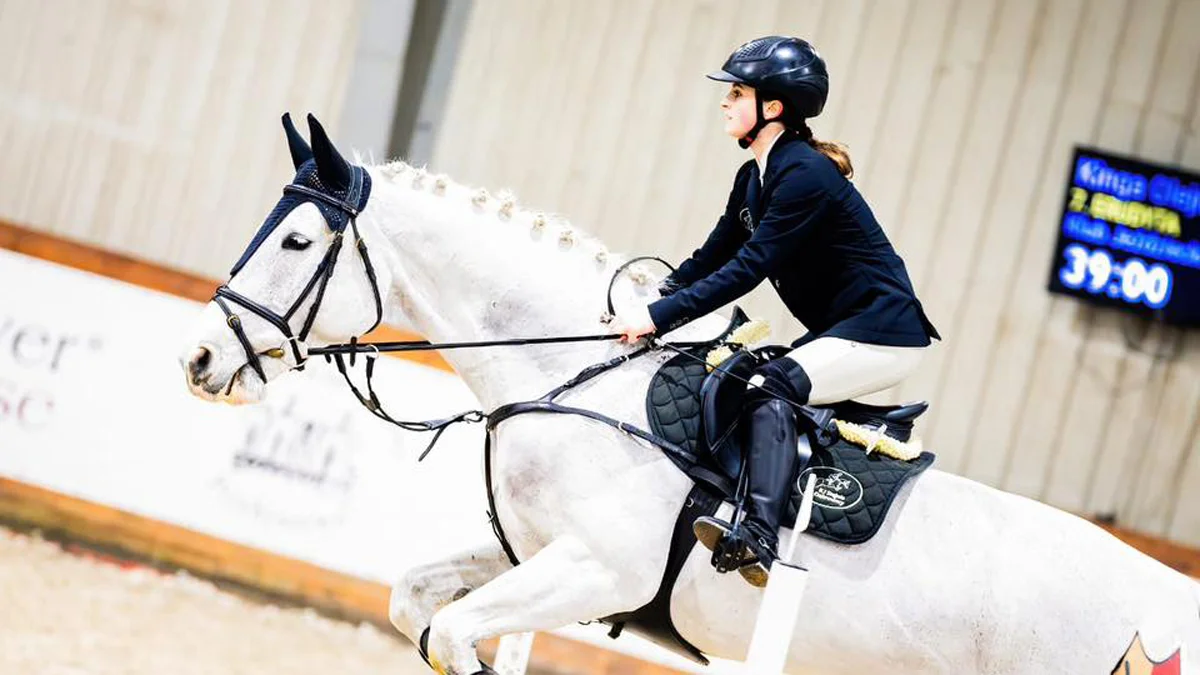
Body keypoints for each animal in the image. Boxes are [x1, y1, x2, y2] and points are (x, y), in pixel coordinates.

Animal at [180, 112, 1200, 667]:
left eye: (297, 242)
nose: (197, 360)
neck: (574, 381)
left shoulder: (599, 567)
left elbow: (457, 630)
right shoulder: (534, 553)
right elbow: (418, 602)